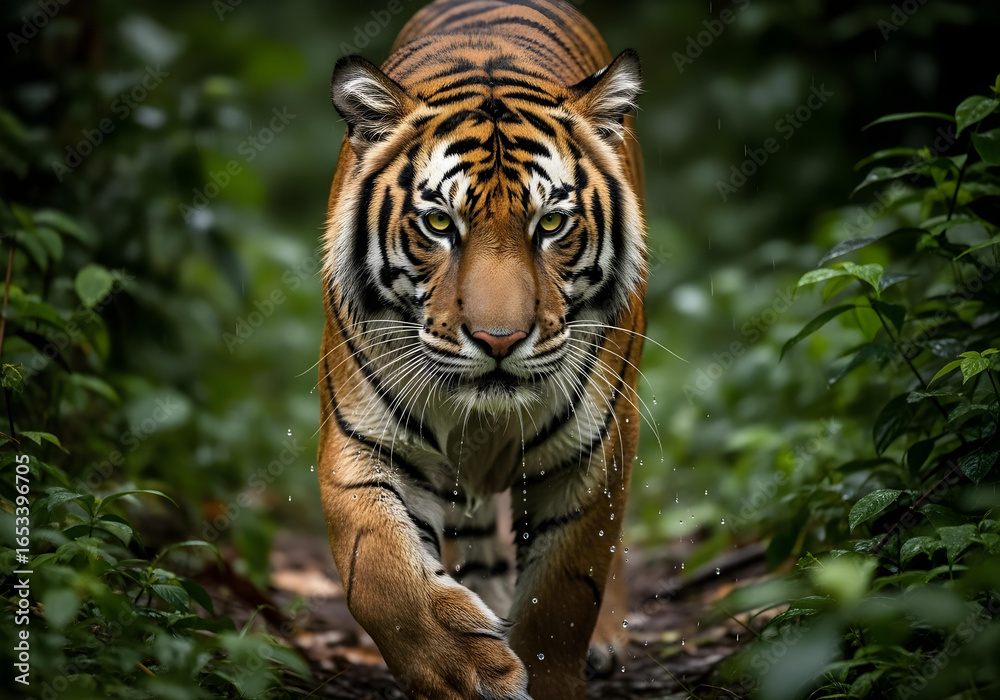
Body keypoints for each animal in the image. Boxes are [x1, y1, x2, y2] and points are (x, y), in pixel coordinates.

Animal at [317, 1, 647, 698]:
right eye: (440, 223)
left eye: (552, 223)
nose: (500, 340)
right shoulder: (362, 442)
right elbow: (383, 578)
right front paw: (471, 670)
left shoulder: (595, 450)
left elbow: (563, 596)